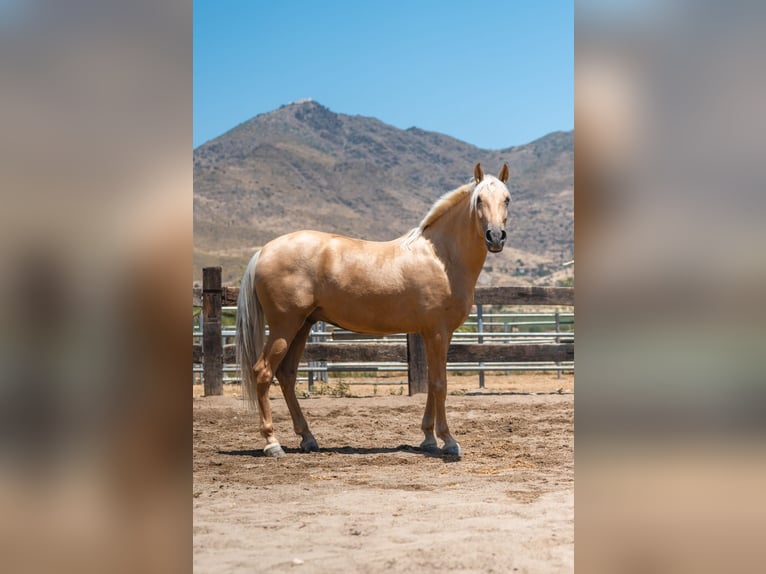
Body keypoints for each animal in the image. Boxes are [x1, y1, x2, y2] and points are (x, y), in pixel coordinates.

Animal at [236, 162, 511, 457]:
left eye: (507, 199)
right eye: (479, 200)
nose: (495, 237)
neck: (442, 258)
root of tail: (264, 251)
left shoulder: (430, 334)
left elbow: (430, 383)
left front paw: (427, 438)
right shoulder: (438, 332)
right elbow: (440, 384)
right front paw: (448, 440)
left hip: (302, 326)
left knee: (286, 375)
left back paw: (308, 438)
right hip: (283, 326)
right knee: (263, 372)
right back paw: (272, 443)